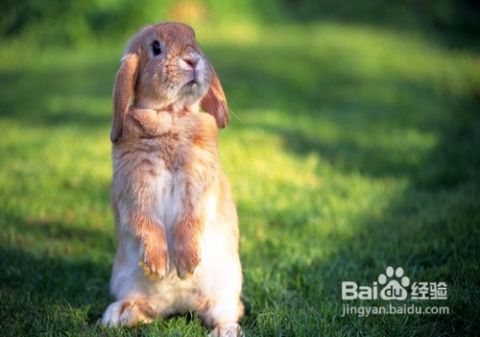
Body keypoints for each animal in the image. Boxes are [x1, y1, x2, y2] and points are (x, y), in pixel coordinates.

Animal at [101, 22, 244, 334]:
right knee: (147, 310)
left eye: (194, 40)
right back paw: (117, 315)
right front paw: (157, 266)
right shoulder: (136, 189)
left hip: (226, 291)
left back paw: (225, 331)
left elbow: (189, 222)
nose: (192, 60)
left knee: (227, 312)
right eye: (156, 47)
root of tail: (179, 305)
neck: (171, 116)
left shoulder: (197, 186)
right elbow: (146, 223)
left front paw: (187, 265)